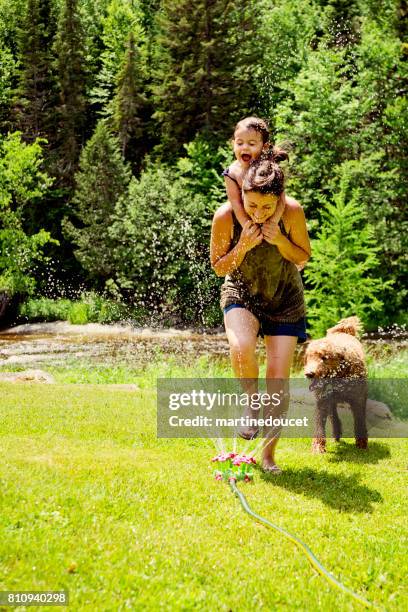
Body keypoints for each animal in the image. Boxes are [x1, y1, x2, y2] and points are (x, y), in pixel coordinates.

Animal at [304, 318, 368, 452]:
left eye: (324, 357)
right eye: (309, 357)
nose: (309, 373)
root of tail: (343, 331)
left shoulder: (358, 400)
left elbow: (360, 420)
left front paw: (361, 443)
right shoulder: (322, 401)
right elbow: (319, 425)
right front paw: (318, 447)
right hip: (330, 402)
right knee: (334, 418)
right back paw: (336, 434)